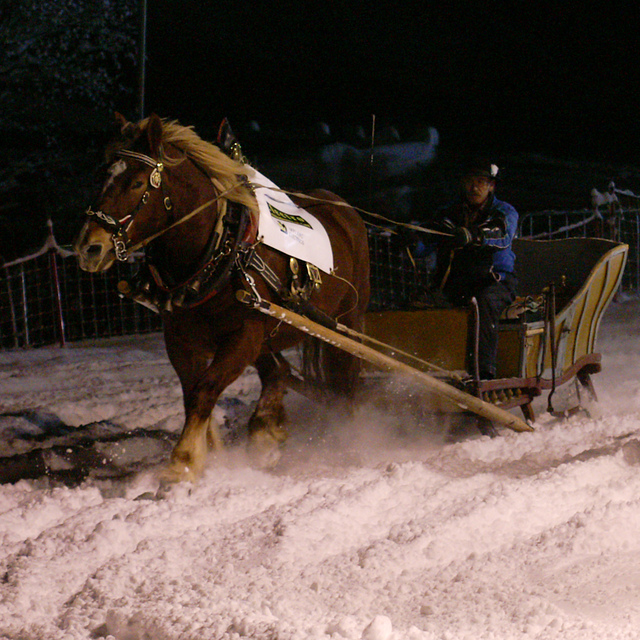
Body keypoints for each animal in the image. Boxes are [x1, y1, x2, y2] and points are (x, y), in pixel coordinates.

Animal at [74, 115, 370, 482]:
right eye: (101, 178)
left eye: (137, 183)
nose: (88, 247)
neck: (221, 250)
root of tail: (346, 211)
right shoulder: (181, 338)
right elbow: (193, 394)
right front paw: (213, 454)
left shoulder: (245, 334)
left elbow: (205, 391)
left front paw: (183, 462)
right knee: (279, 371)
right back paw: (267, 430)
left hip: (346, 324)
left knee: (344, 386)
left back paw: (347, 439)